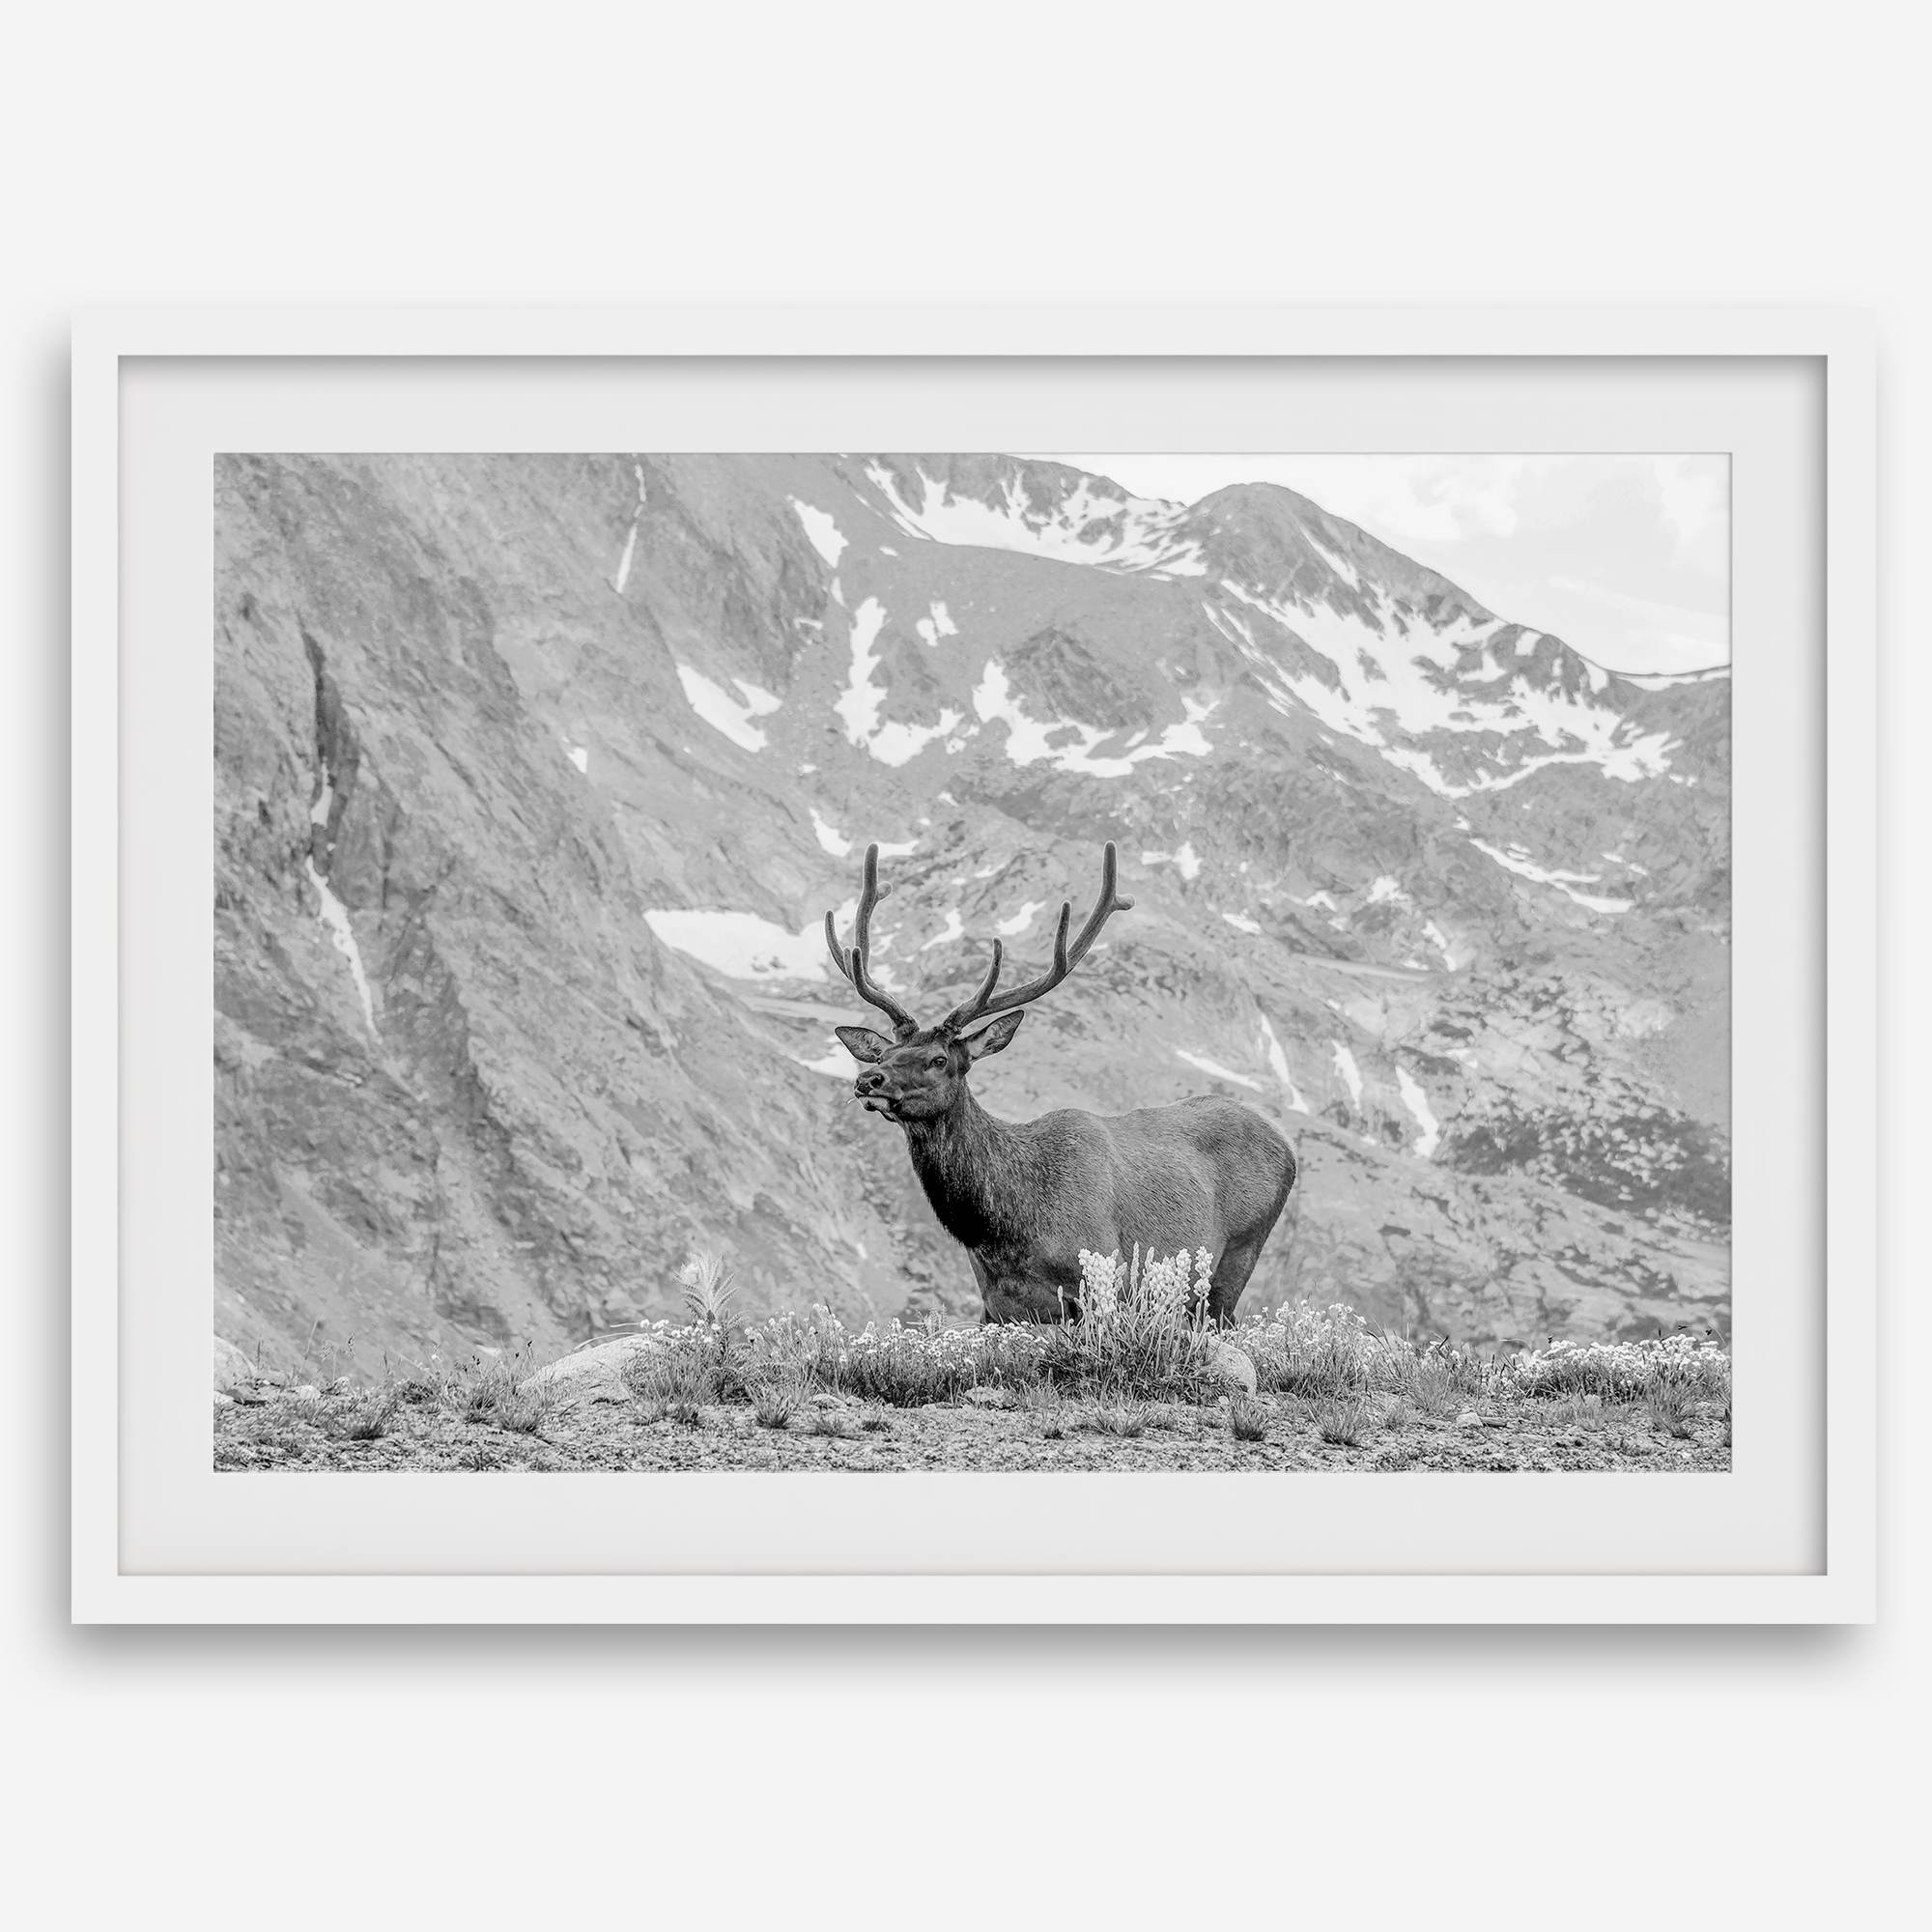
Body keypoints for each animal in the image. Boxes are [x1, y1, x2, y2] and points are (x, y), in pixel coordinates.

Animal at [825, 841, 1297, 1325]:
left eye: (939, 1060)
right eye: (882, 1055)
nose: (868, 1079)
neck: (1003, 1232)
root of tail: (1284, 1141)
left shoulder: (1105, 1278)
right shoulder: (996, 1307)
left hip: (1239, 1253)